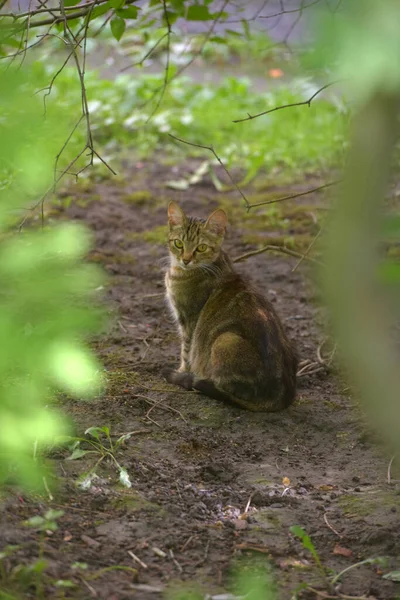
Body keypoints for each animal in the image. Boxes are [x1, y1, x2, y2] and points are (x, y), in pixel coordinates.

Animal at [162, 202, 296, 412]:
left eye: (201, 247)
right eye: (178, 244)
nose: (186, 259)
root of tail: (280, 397)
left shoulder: (189, 320)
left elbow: (186, 352)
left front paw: (182, 371)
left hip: (225, 340)